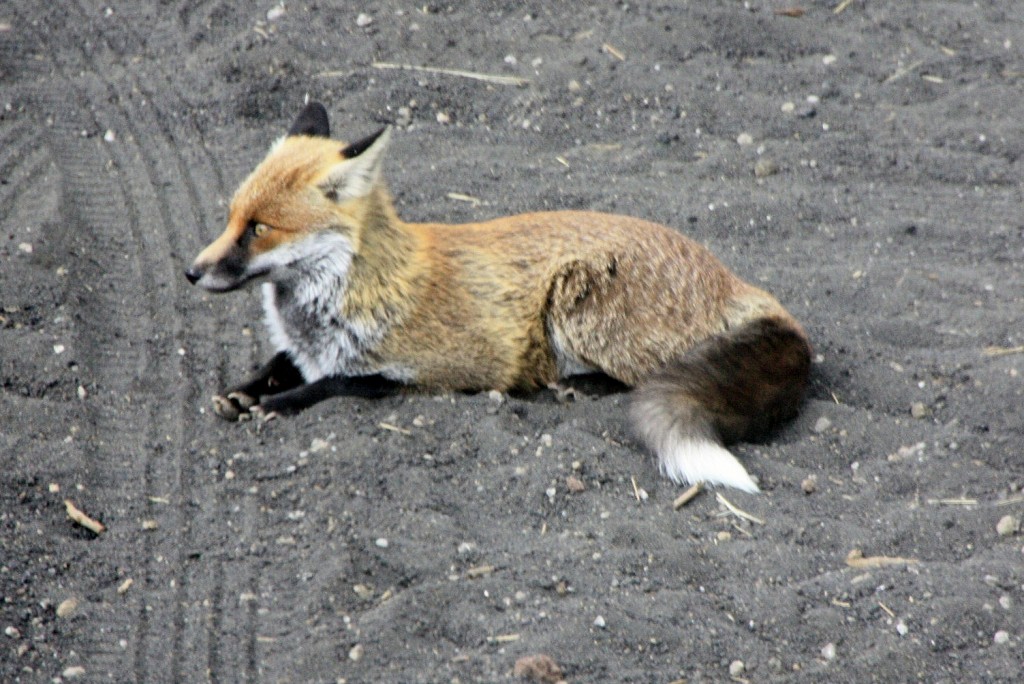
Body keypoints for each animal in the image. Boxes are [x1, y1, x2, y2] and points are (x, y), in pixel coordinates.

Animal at [184, 101, 806, 491]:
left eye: (259, 228)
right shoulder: (310, 349)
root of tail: (738, 284)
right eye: (232, 217)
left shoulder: (441, 368)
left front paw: (275, 404)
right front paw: (245, 390)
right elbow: (281, 362)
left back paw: (581, 385)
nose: (192, 272)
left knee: (651, 372)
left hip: (578, 306)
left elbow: (337, 382)